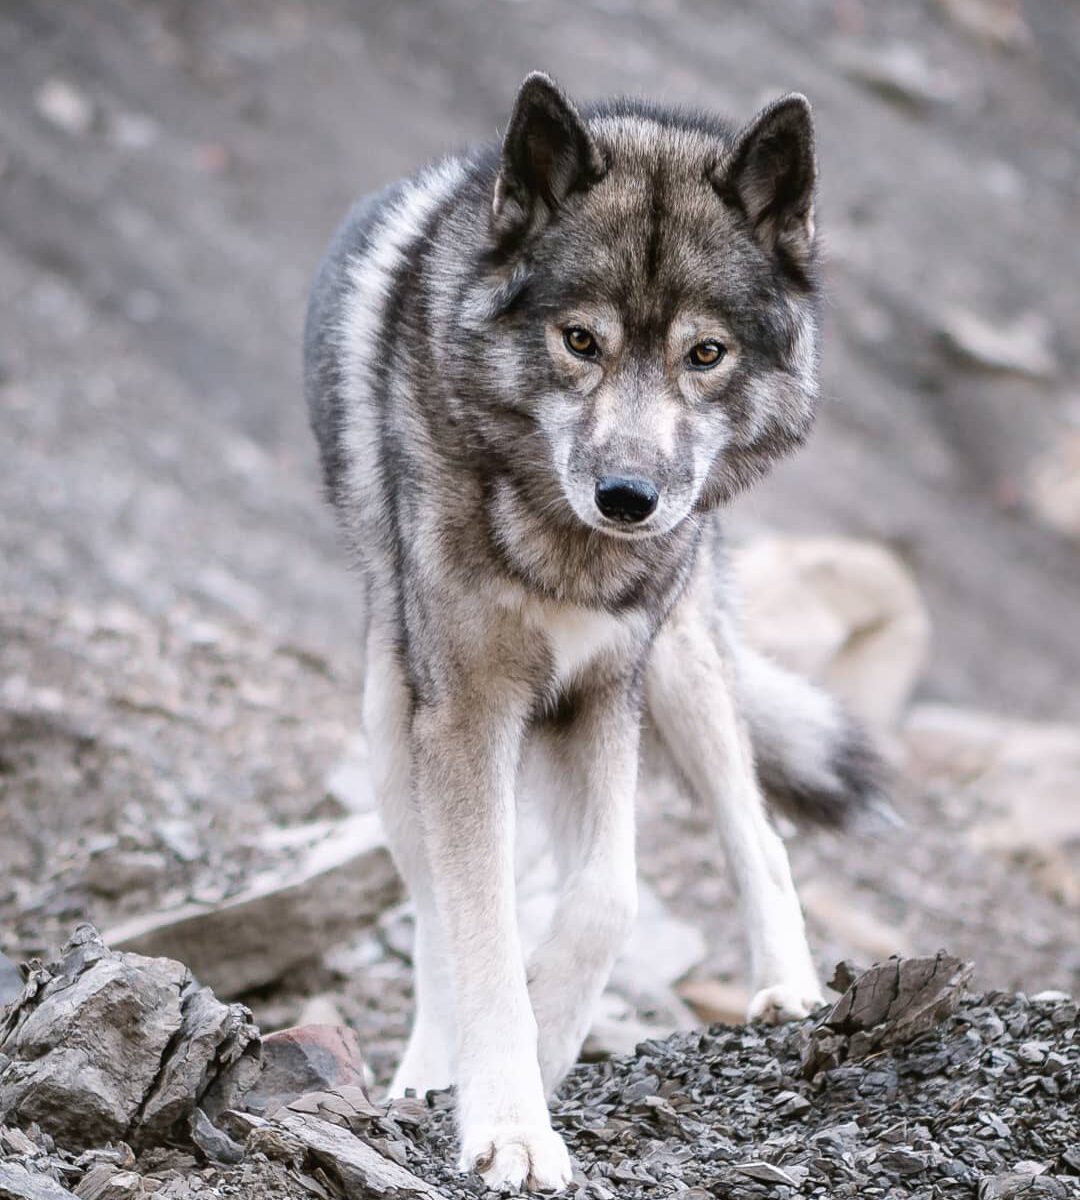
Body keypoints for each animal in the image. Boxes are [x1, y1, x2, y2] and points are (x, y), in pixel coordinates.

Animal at [303, 72, 888, 1190]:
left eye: (705, 355)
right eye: (581, 341)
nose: (628, 498)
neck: (569, 552)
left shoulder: (601, 695)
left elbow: (608, 895)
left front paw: (553, 1041)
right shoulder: (468, 713)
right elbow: (481, 923)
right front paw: (509, 1123)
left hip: (686, 667)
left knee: (757, 829)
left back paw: (789, 995)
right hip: (391, 717)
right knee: (433, 914)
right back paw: (426, 1071)